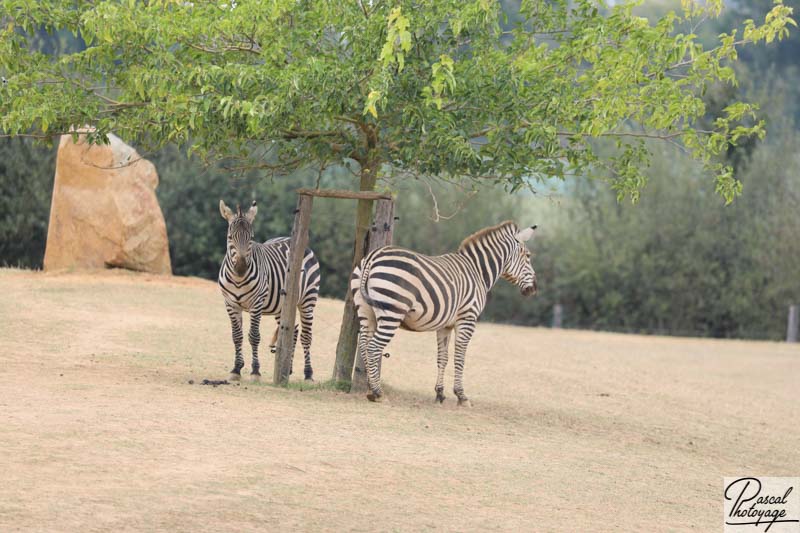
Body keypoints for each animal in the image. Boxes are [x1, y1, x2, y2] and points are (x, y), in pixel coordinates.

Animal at [219, 197, 322, 380]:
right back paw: (287, 370)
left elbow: (254, 336)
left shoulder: (257, 303)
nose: (241, 268)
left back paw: (308, 373)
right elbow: (237, 336)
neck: (238, 280)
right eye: (230, 237)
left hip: (308, 300)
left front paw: (255, 371)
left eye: (251, 238)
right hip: (282, 306)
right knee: (292, 332)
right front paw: (236, 369)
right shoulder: (230, 304)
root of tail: (292, 239)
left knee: (306, 336)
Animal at [352, 220, 536, 404]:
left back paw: (370, 388)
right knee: (373, 347)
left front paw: (439, 393)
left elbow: (443, 357)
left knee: (364, 345)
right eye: (528, 256)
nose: (534, 289)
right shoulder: (467, 319)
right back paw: (377, 392)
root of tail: (373, 256)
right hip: (392, 312)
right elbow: (460, 357)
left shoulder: (445, 325)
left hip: (366, 312)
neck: (477, 271)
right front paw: (461, 395)